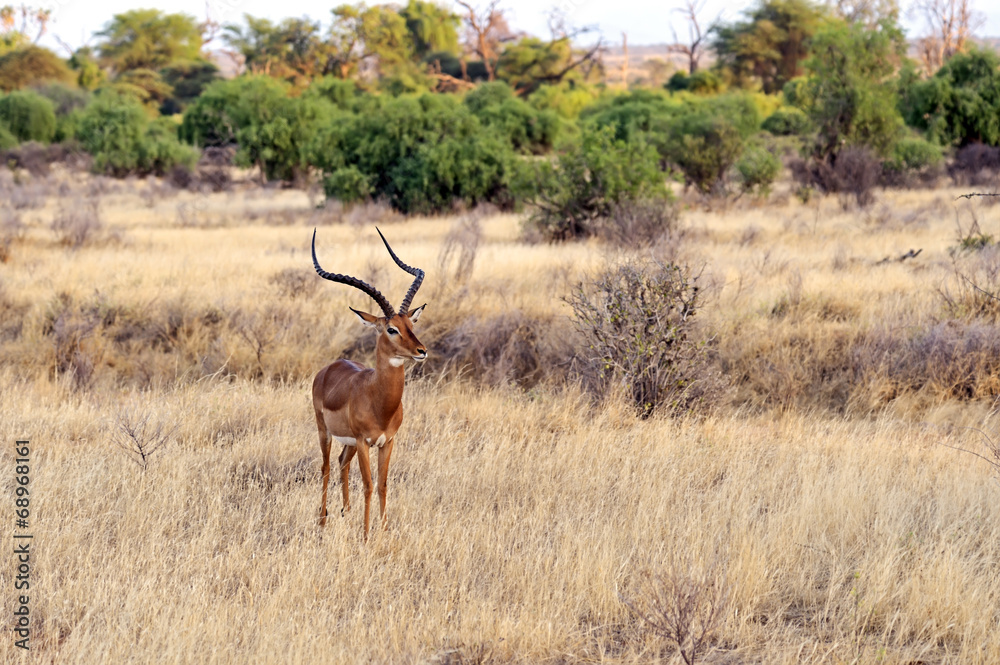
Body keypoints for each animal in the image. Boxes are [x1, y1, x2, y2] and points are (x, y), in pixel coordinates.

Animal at [311, 228, 427, 539]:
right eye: (391, 329)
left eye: (412, 325)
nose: (422, 351)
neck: (380, 402)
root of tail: (329, 368)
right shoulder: (365, 442)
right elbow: (368, 485)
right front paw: (365, 536)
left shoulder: (388, 442)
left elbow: (384, 485)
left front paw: (383, 531)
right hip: (325, 432)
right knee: (326, 467)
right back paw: (323, 520)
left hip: (349, 443)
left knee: (341, 464)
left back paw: (345, 512)